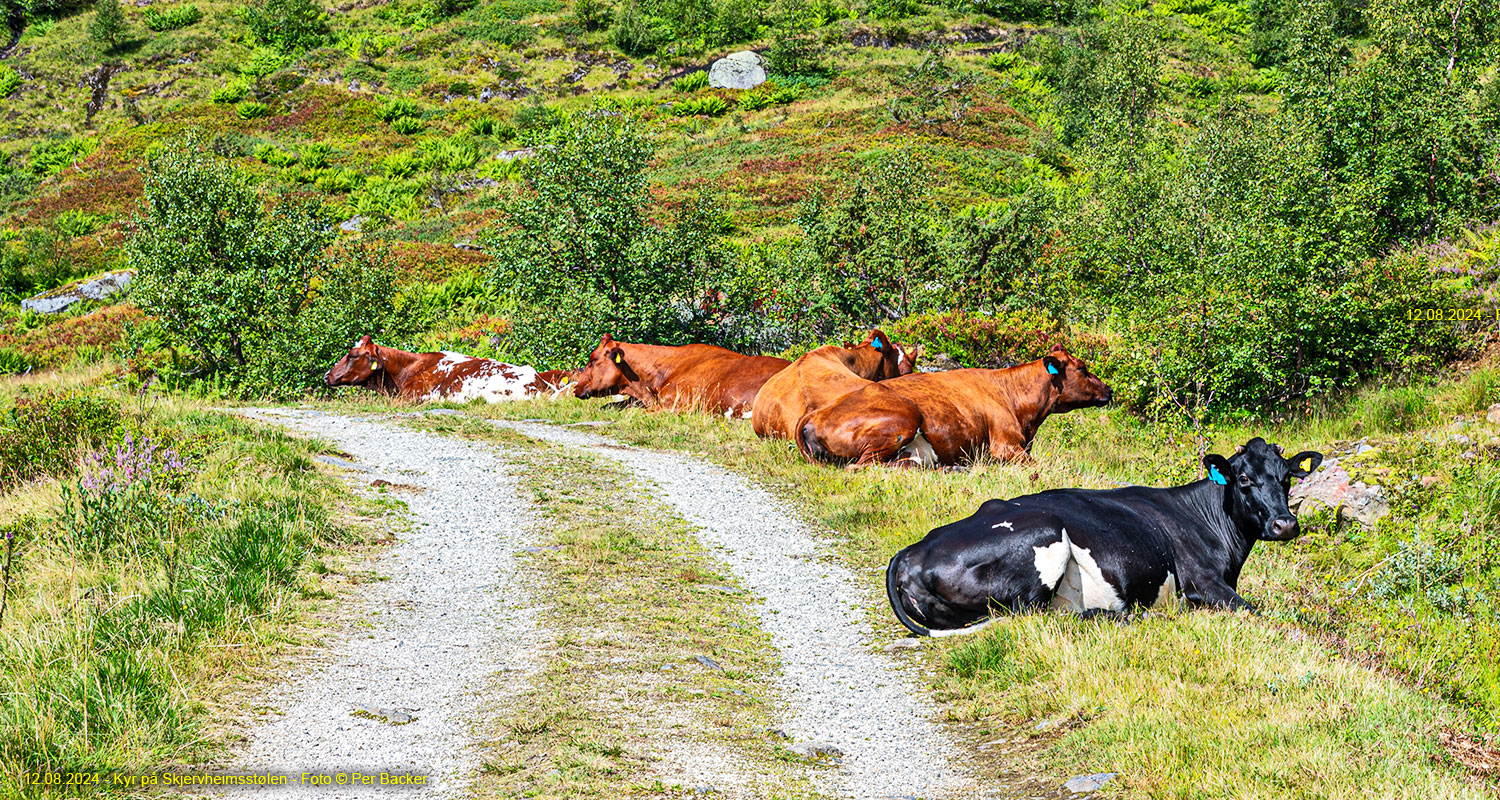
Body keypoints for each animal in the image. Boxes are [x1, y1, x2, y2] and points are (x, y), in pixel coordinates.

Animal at [804, 345, 1110, 468]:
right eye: (1082, 368)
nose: (1109, 390)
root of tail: (814, 416)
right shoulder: (1005, 446)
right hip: (903, 420)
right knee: (863, 467)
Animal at [882, 435, 1320, 636]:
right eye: (1244, 479)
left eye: (1287, 477)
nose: (1285, 524)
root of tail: (910, 552)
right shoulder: (1202, 581)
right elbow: (1253, 611)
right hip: (1045, 533)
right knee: (1033, 616)